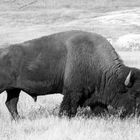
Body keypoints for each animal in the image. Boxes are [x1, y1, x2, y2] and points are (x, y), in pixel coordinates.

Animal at [0, 29, 140, 119]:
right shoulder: (73, 92)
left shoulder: (94, 95)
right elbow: (68, 108)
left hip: (14, 89)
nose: (137, 114)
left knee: (11, 103)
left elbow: (100, 109)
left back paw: (19, 119)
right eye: (134, 94)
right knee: (11, 104)